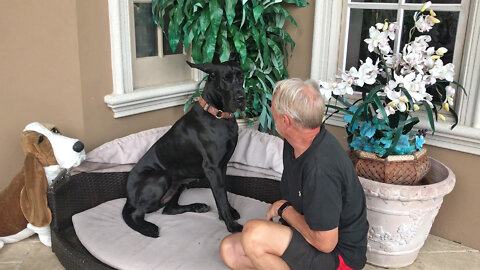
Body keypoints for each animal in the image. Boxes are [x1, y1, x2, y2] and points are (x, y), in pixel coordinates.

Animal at [122, 53, 246, 237]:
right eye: (225, 78)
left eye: (241, 76)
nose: (241, 98)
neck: (217, 115)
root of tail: (128, 197)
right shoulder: (212, 168)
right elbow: (221, 196)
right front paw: (231, 225)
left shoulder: (222, 166)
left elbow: (223, 192)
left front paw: (228, 213)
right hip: (161, 177)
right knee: (137, 214)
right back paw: (148, 228)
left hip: (180, 181)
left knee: (168, 209)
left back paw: (197, 206)